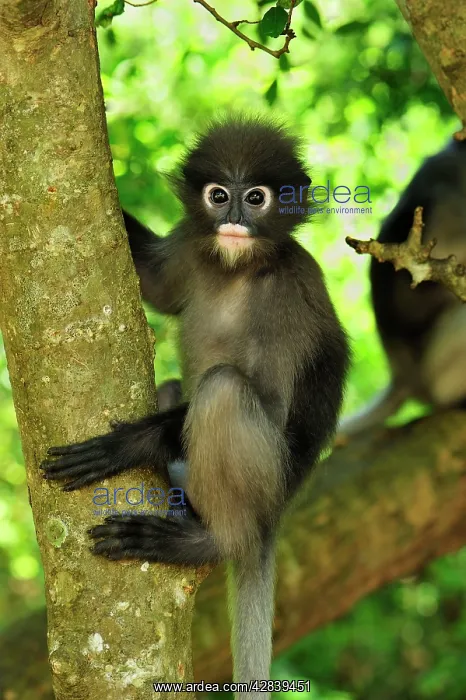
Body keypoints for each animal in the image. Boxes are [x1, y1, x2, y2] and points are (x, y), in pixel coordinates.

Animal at [41, 116, 350, 695]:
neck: (237, 268)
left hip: (264, 476)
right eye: (219, 195)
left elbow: (272, 401)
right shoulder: (191, 243)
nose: (233, 220)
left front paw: (125, 444)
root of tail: (272, 514)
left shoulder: (290, 292)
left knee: (223, 390)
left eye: (256, 198)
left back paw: (206, 541)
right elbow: (157, 287)